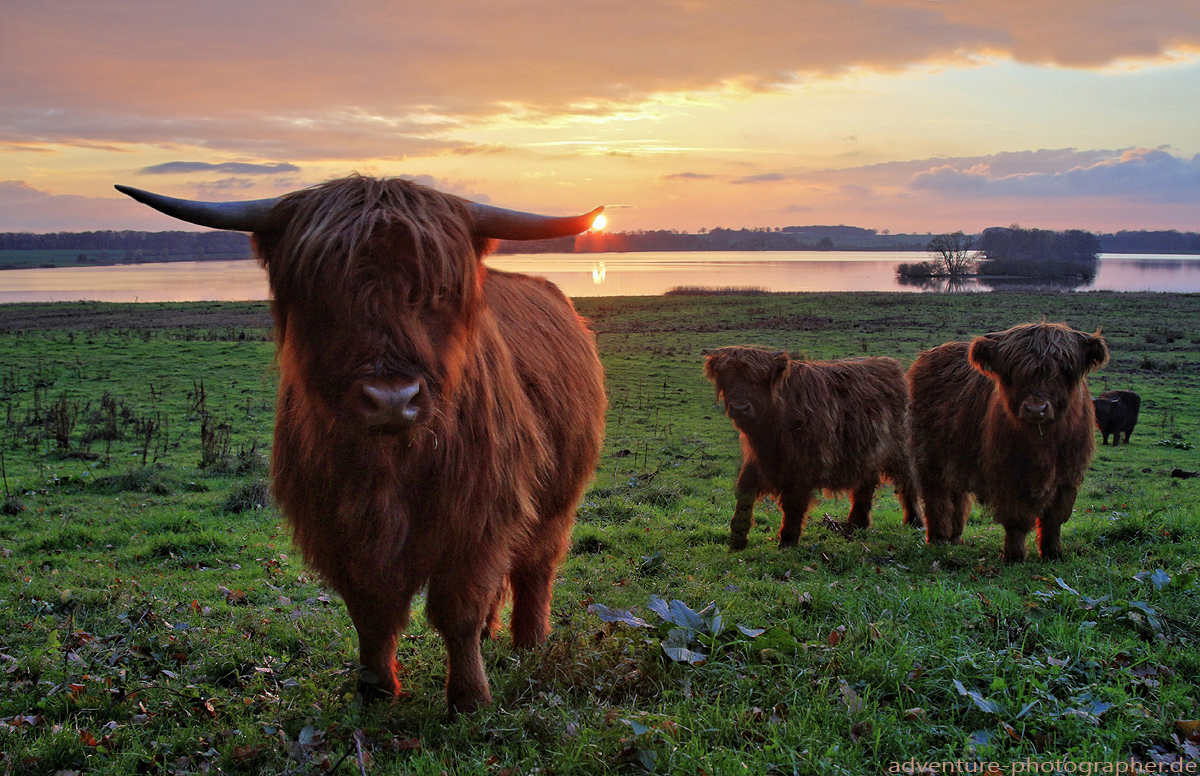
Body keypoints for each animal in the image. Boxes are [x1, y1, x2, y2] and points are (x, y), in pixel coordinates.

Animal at [119, 177, 609, 714]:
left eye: (437, 291)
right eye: (324, 292)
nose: (392, 399)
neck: (391, 466)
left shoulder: (475, 520)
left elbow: (457, 610)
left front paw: (469, 698)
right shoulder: (341, 527)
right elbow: (371, 611)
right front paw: (374, 689)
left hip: (556, 502)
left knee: (535, 567)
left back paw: (529, 642)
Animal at [700, 345, 921, 551]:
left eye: (758, 379)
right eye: (727, 378)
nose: (740, 408)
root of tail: (890, 365)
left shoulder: (802, 464)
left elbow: (793, 504)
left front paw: (787, 541)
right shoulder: (757, 459)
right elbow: (744, 491)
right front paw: (737, 540)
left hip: (899, 450)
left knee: (908, 484)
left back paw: (914, 521)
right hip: (867, 453)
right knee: (865, 486)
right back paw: (856, 524)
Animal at [907, 323, 1104, 563]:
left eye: (1063, 370)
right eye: (1014, 371)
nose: (1036, 409)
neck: (1043, 441)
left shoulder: (1068, 477)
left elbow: (1054, 519)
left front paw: (1053, 553)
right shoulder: (1009, 475)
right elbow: (1016, 518)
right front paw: (1014, 555)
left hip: (955, 456)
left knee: (957, 496)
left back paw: (955, 537)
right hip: (928, 457)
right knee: (936, 498)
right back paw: (939, 538)